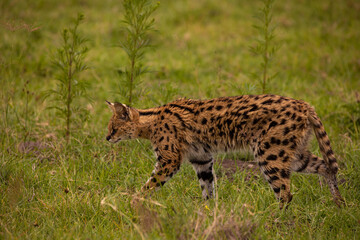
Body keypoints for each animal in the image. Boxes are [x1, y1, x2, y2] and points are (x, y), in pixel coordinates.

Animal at [105, 94, 344, 208]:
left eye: (113, 128)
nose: (107, 138)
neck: (151, 119)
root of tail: (305, 105)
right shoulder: (201, 159)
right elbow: (208, 188)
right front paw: (208, 211)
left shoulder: (169, 160)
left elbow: (149, 184)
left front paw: (132, 201)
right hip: (293, 155)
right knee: (326, 166)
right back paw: (339, 204)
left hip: (269, 155)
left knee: (286, 195)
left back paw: (276, 222)